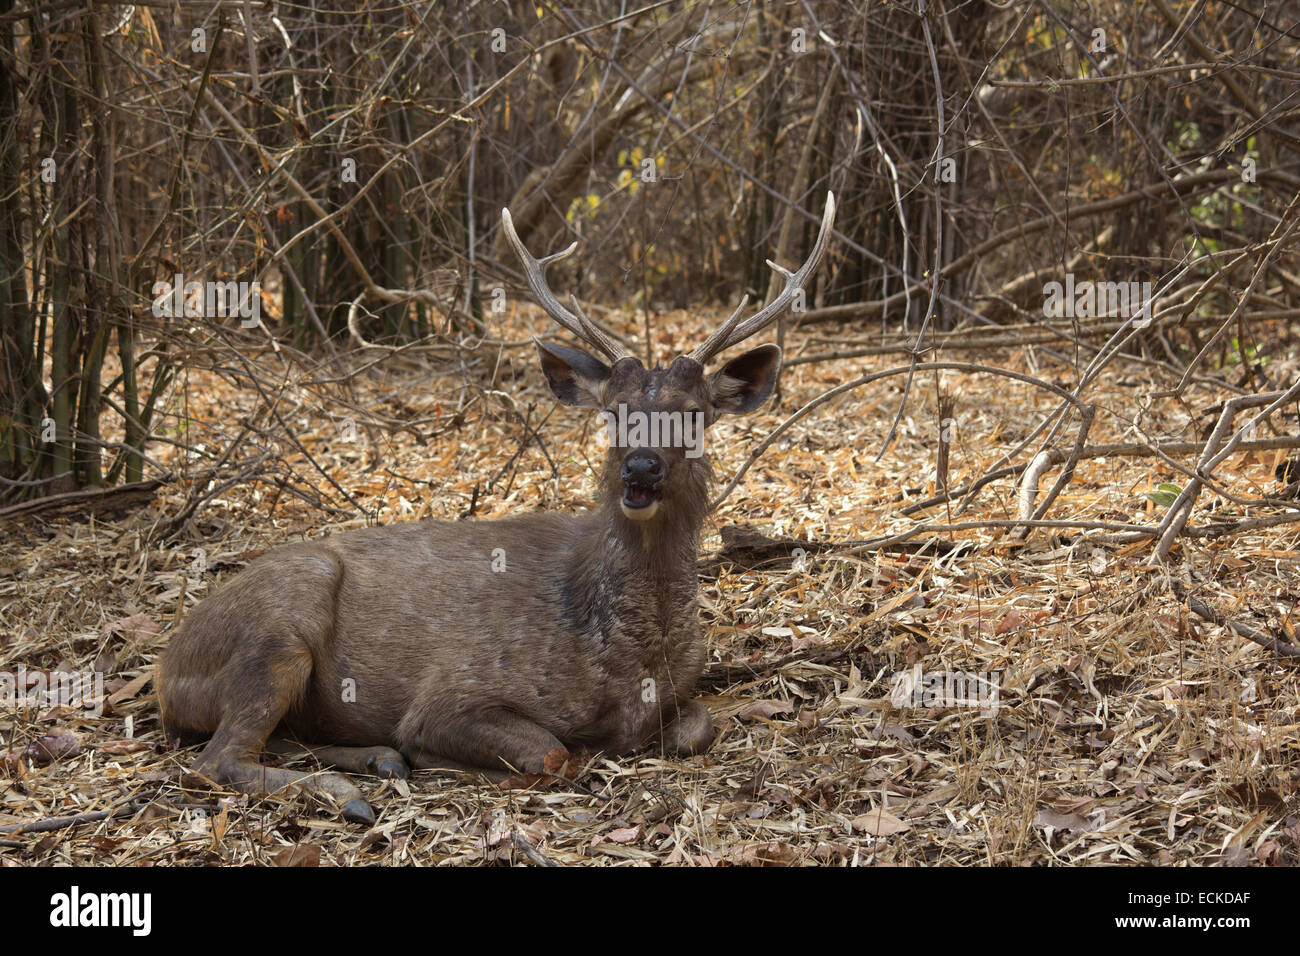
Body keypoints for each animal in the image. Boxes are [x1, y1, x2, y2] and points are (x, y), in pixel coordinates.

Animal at [157, 192, 837, 822]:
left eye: (693, 415)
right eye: (612, 411)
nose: (641, 467)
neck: (623, 660)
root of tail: (164, 673)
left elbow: (700, 727)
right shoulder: (455, 688)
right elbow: (553, 751)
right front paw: (443, 758)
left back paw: (373, 761)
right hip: (279, 625)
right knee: (214, 760)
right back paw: (352, 790)